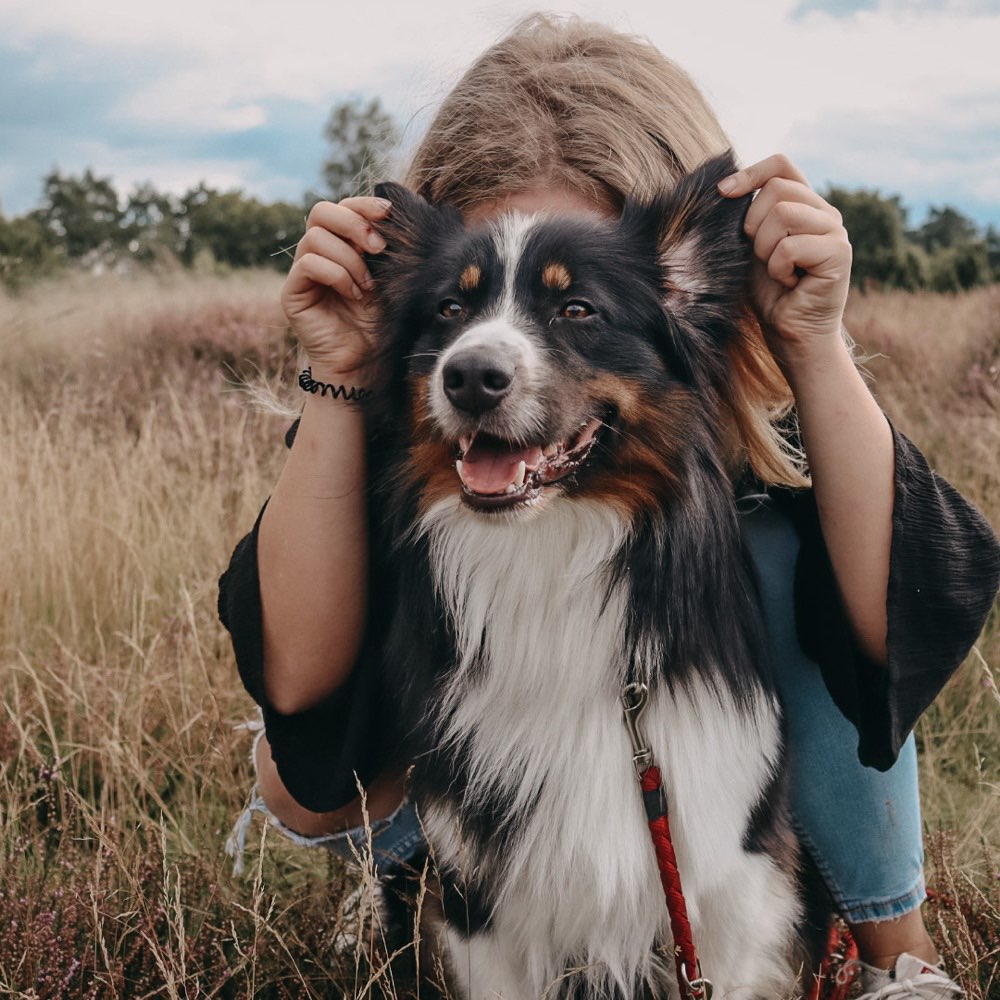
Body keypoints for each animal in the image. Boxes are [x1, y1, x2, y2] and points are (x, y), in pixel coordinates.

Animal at [364, 152, 816, 996]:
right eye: (449, 309)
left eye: (577, 309)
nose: (470, 376)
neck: (548, 552)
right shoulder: (481, 901)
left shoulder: (733, 886)